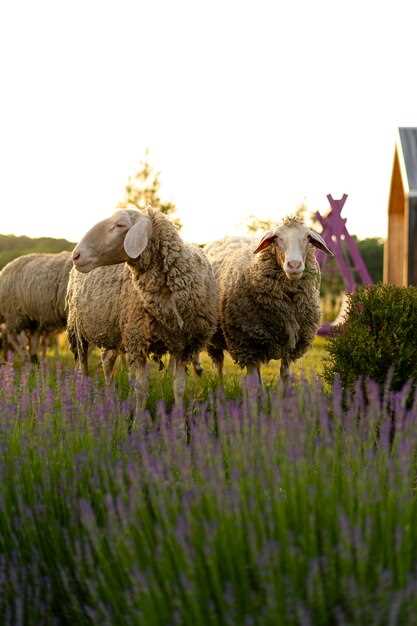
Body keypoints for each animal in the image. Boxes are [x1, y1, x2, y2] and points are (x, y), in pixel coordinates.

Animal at [66, 206, 216, 410]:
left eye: (120, 225)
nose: (76, 255)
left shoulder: (183, 345)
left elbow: (179, 387)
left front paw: (179, 417)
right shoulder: (137, 340)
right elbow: (142, 388)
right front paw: (139, 417)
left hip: (112, 330)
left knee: (107, 362)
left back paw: (110, 397)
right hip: (78, 330)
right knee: (83, 369)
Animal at [203, 216, 334, 380]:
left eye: (308, 237)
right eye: (277, 238)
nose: (294, 265)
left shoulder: (290, 345)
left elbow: (284, 375)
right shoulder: (247, 344)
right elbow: (253, 380)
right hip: (214, 337)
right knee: (219, 364)